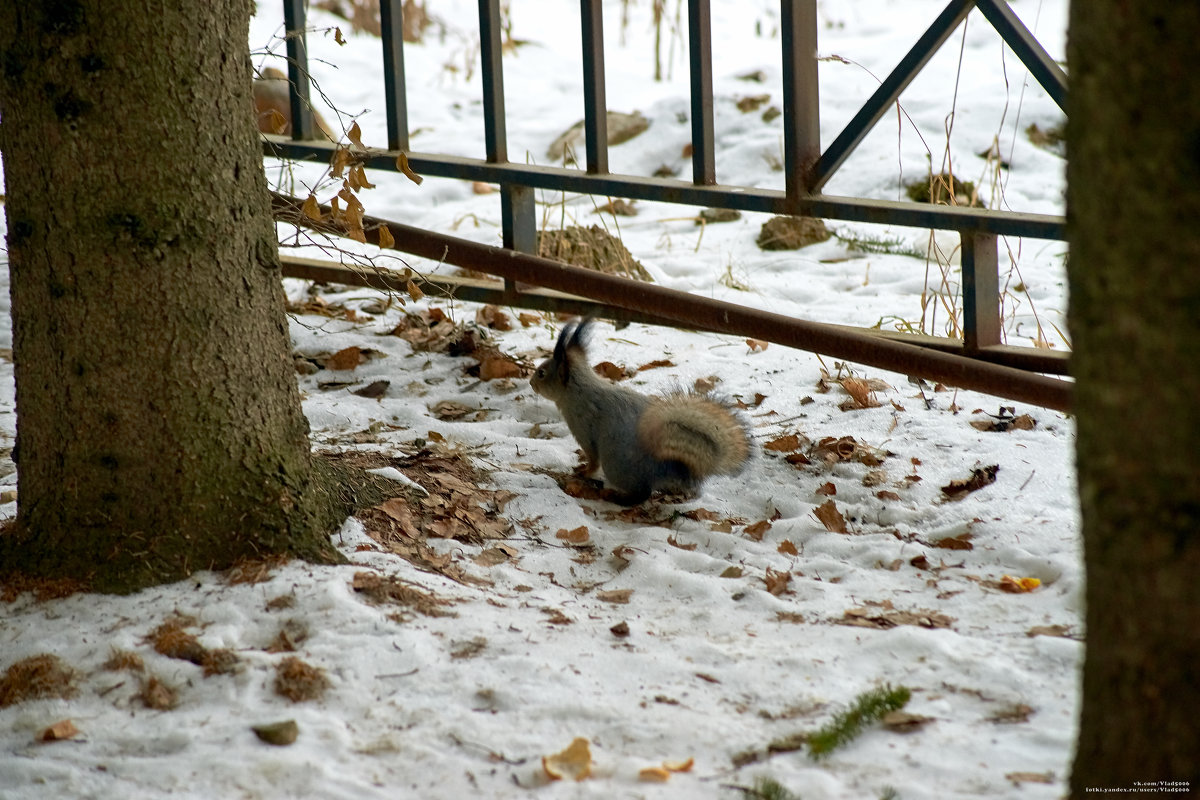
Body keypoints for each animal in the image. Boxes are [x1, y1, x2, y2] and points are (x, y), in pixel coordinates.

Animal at [532, 321, 753, 503]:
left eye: (542, 373)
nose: (532, 383)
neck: (578, 391)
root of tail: (667, 466)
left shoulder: (584, 429)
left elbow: (593, 459)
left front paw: (583, 472)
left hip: (616, 465)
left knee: (642, 494)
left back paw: (617, 498)